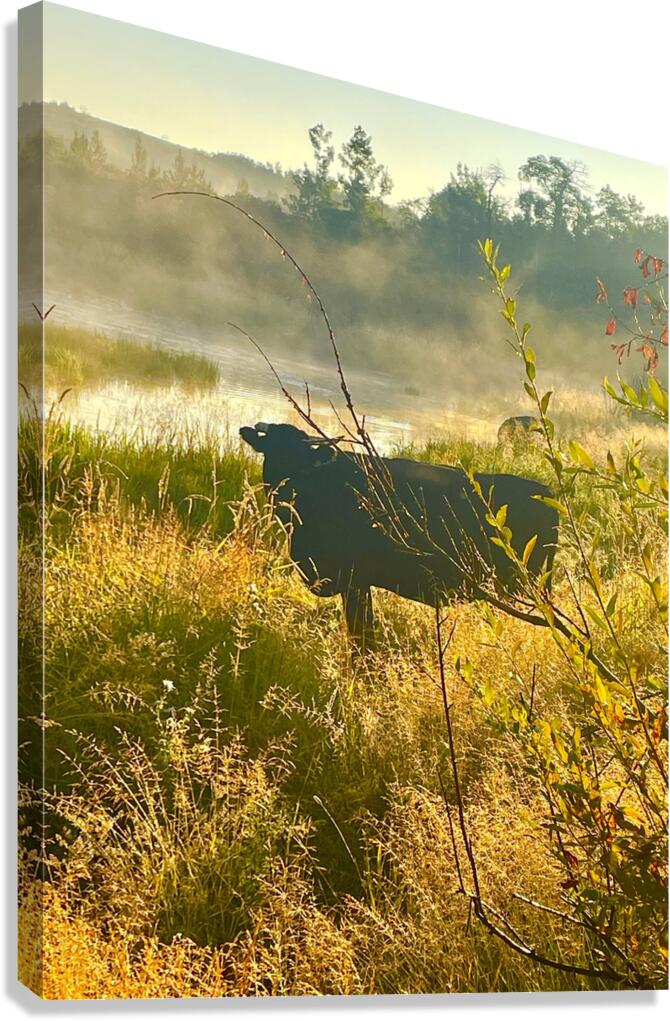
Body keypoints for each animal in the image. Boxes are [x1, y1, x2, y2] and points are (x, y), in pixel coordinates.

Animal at [240, 422, 559, 648]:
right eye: (271, 452)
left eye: (302, 459)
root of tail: (545, 491)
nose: (283, 494)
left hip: (522, 588)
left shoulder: (354, 580)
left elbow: (362, 638)